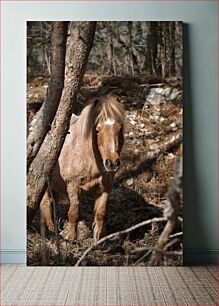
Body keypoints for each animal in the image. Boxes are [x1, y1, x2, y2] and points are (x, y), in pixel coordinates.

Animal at [40, 95, 124, 241]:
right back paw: (50, 230)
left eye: (120, 129)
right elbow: (74, 212)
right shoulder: (73, 186)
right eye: (97, 130)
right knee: (44, 202)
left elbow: (101, 213)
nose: (112, 163)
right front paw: (71, 238)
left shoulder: (105, 188)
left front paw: (99, 239)